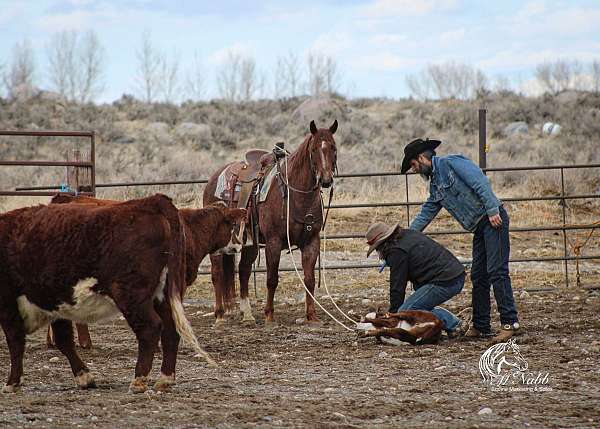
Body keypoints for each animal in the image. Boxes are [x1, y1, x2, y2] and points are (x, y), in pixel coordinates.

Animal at [204, 118, 338, 322]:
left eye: (333, 147)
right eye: (314, 149)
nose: (325, 180)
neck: (296, 196)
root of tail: (213, 179)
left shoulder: (311, 242)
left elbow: (309, 279)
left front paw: (311, 315)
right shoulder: (274, 242)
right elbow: (272, 279)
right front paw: (269, 314)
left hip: (250, 242)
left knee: (243, 270)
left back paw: (247, 314)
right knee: (217, 272)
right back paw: (219, 314)